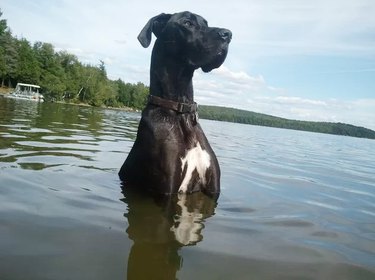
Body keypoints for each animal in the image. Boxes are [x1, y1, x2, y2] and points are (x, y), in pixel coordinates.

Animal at [120, 11, 232, 197]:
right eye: (187, 23)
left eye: (206, 23)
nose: (228, 34)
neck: (180, 109)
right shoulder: (166, 190)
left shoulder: (213, 189)